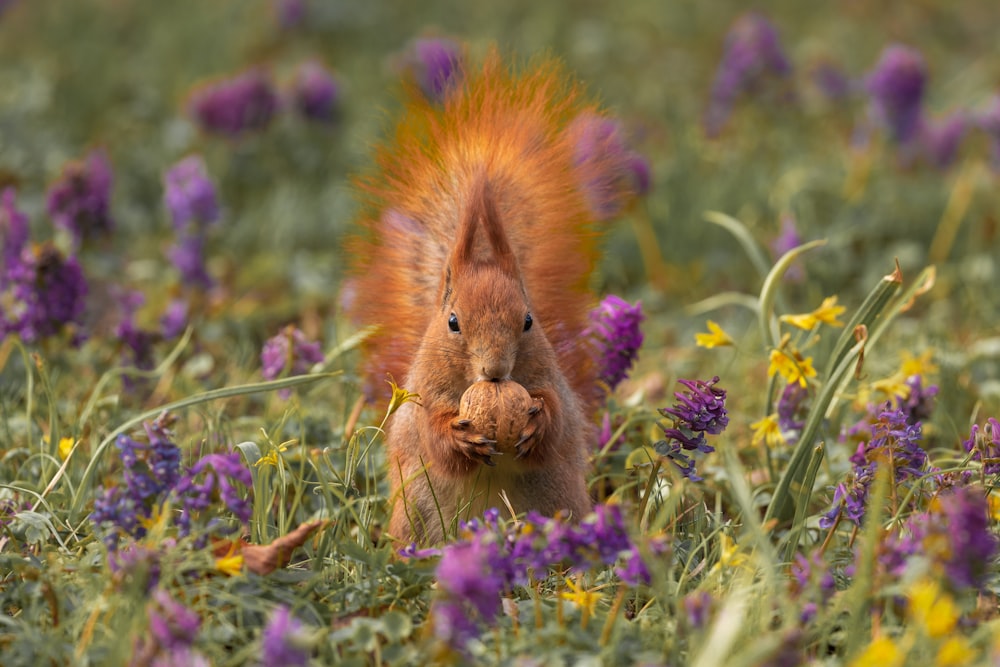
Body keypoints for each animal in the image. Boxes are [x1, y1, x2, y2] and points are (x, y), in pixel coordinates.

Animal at [346, 51, 624, 544]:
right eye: (453, 322)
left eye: (528, 321)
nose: (495, 370)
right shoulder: (425, 393)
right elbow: (432, 435)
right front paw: (459, 438)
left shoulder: (549, 379)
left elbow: (559, 418)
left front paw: (537, 422)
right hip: (415, 513)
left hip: (561, 501)